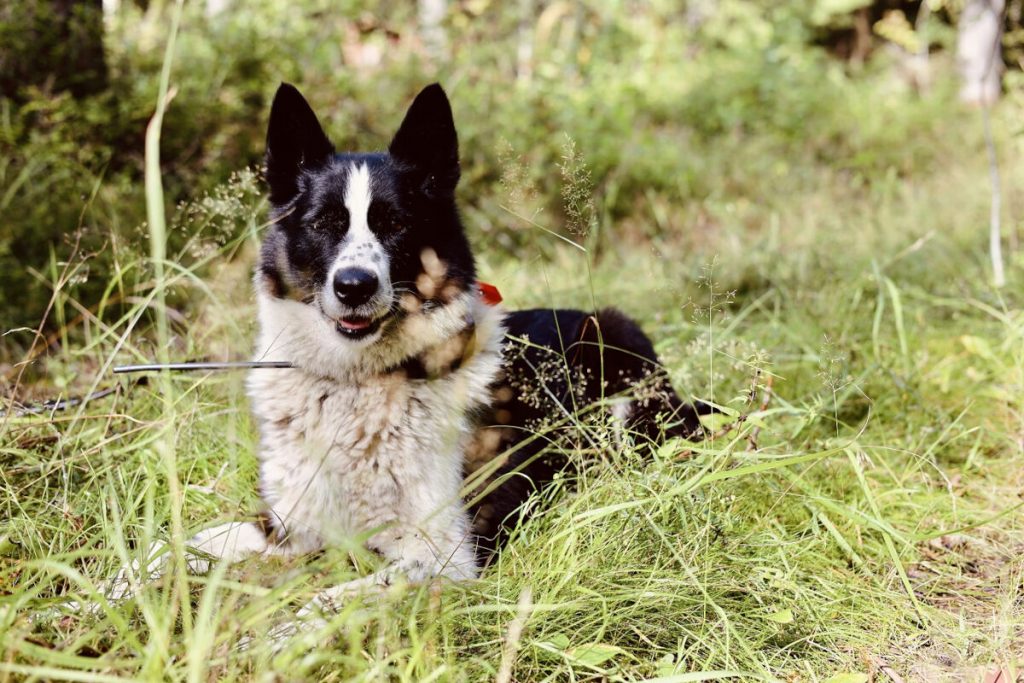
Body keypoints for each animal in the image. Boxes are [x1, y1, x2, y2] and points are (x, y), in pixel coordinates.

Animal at [114, 83, 704, 618]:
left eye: (395, 224)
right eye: (323, 224)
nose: (354, 286)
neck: (357, 386)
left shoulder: (445, 555)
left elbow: (328, 603)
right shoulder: (290, 526)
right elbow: (180, 543)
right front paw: (111, 589)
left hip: (613, 350)